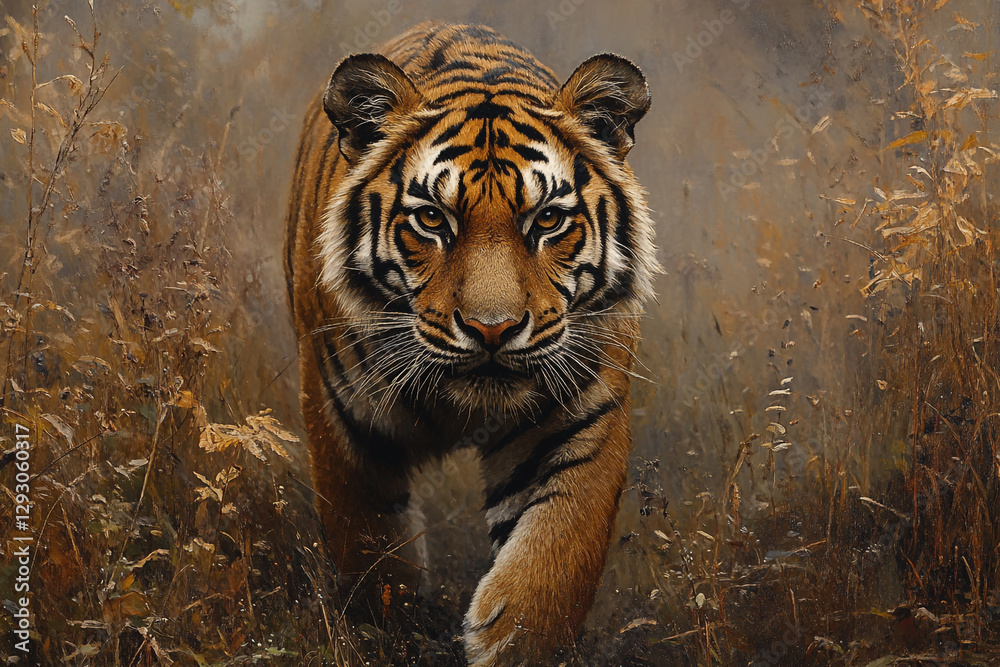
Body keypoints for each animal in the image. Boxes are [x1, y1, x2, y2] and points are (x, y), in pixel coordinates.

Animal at [284, 20, 655, 666]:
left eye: (548, 220)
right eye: (432, 219)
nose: (492, 329)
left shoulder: (583, 415)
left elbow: (556, 557)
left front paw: (511, 641)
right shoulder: (339, 409)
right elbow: (367, 544)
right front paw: (388, 629)